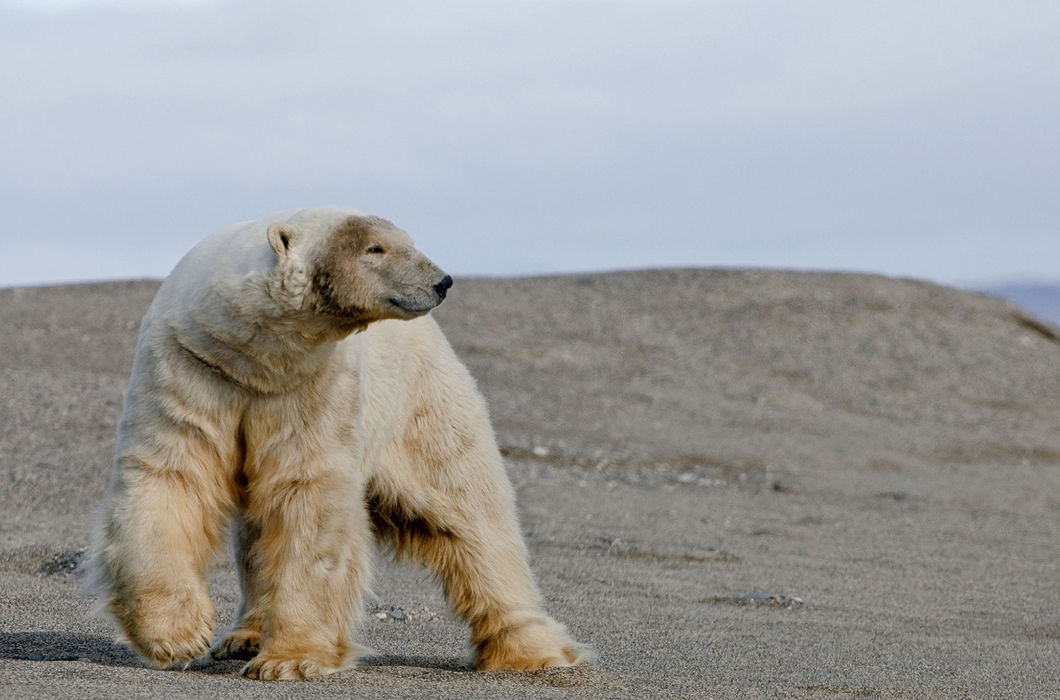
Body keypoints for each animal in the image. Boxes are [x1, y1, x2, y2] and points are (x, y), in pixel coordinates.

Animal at [91, 206, 589, 678]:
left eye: (407, 241)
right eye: (375, 248)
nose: (442, 281)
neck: (254, 358)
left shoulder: (316, 386)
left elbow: (307, 498)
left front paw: (288, 661)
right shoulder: (192, 369)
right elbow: (170, 477)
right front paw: (178, 637)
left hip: (420, 409)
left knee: (472, 518)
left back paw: (531, 651)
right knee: (255, 535)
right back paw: (244, 636)